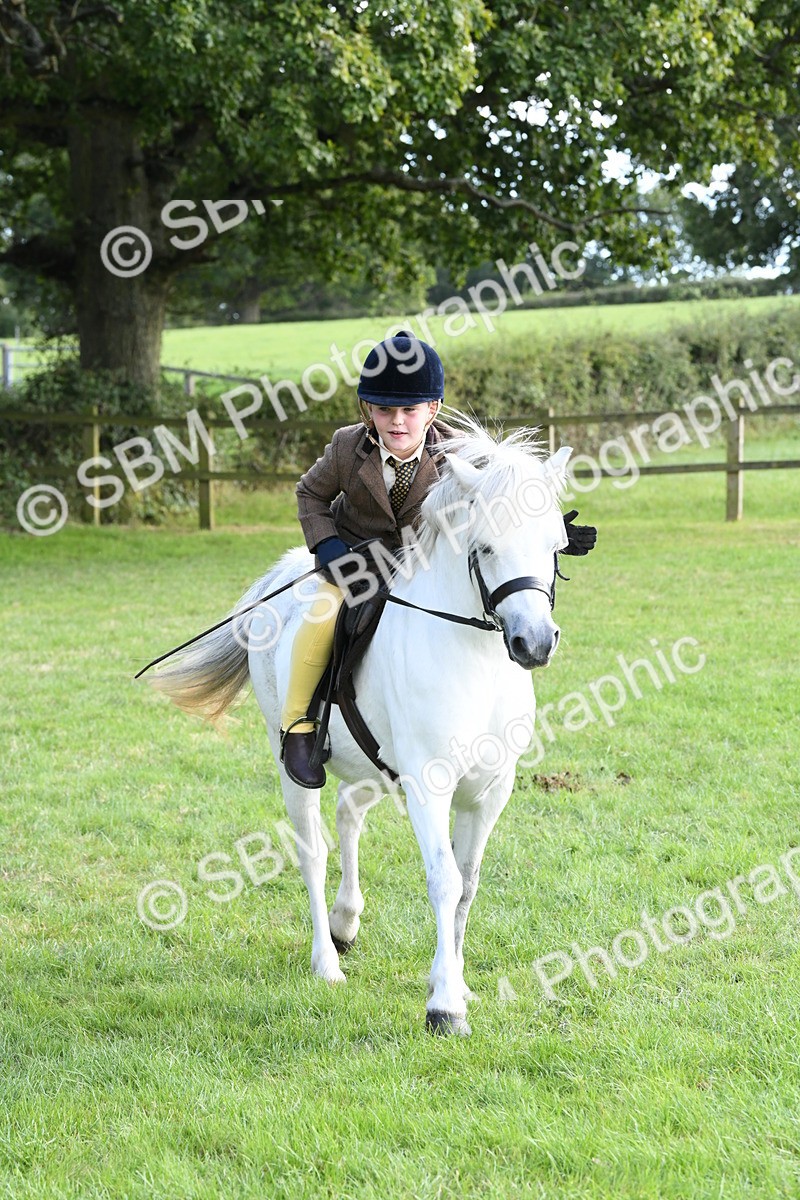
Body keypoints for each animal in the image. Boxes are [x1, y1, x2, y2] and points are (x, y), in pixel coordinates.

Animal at [148, 422, 573, 1036]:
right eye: (486, 547)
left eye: (553, 547)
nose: (534, 644)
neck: (476, 660)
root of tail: (280, 574)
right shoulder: (429, 785)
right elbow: (445, 880)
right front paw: (445, 1006)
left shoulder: (491, 791)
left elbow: (468, 884)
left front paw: (457, 984)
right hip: (294, 763)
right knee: (312, 849)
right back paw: (327, 960)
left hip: (373, 762)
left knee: (349, 814)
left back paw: (346, 923)